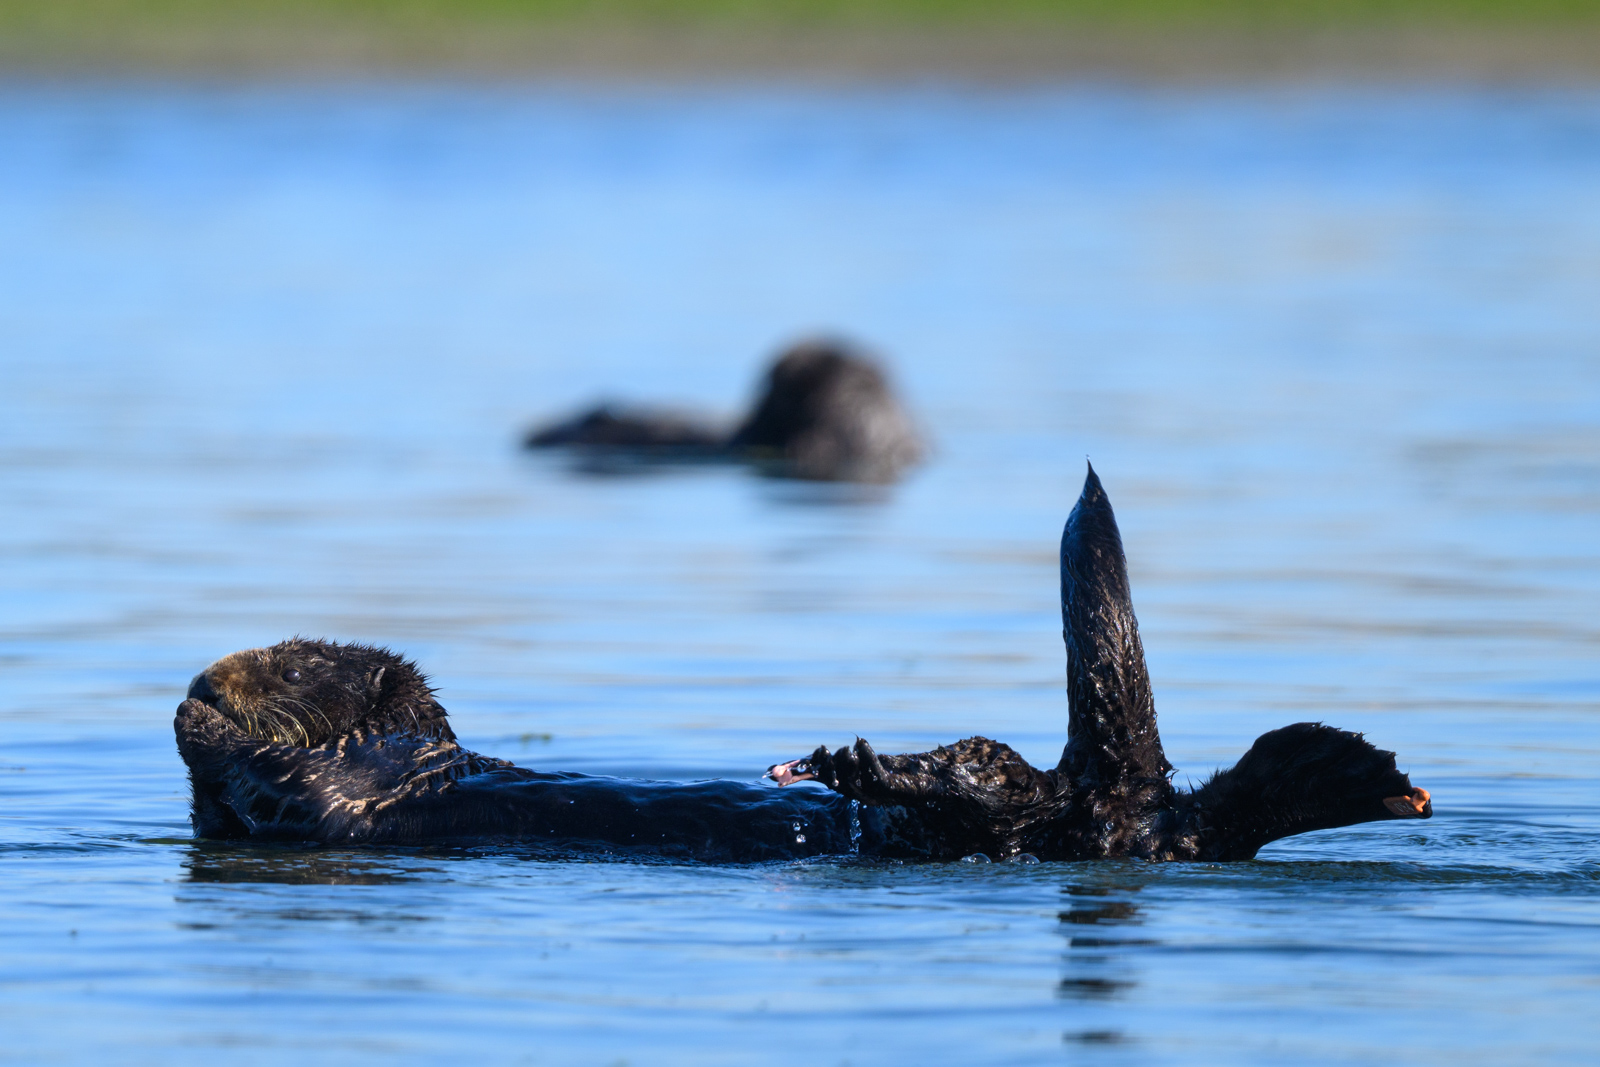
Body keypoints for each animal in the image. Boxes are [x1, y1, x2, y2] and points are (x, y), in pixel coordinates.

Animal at [174, 467, 1430, 862]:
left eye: (294, 664)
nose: (220, 669)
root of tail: (1139, 810)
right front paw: (192, 705)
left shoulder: (361, 778)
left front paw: (204, 707)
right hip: (1074, 813)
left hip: (1055, 805)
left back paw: (845, 761)